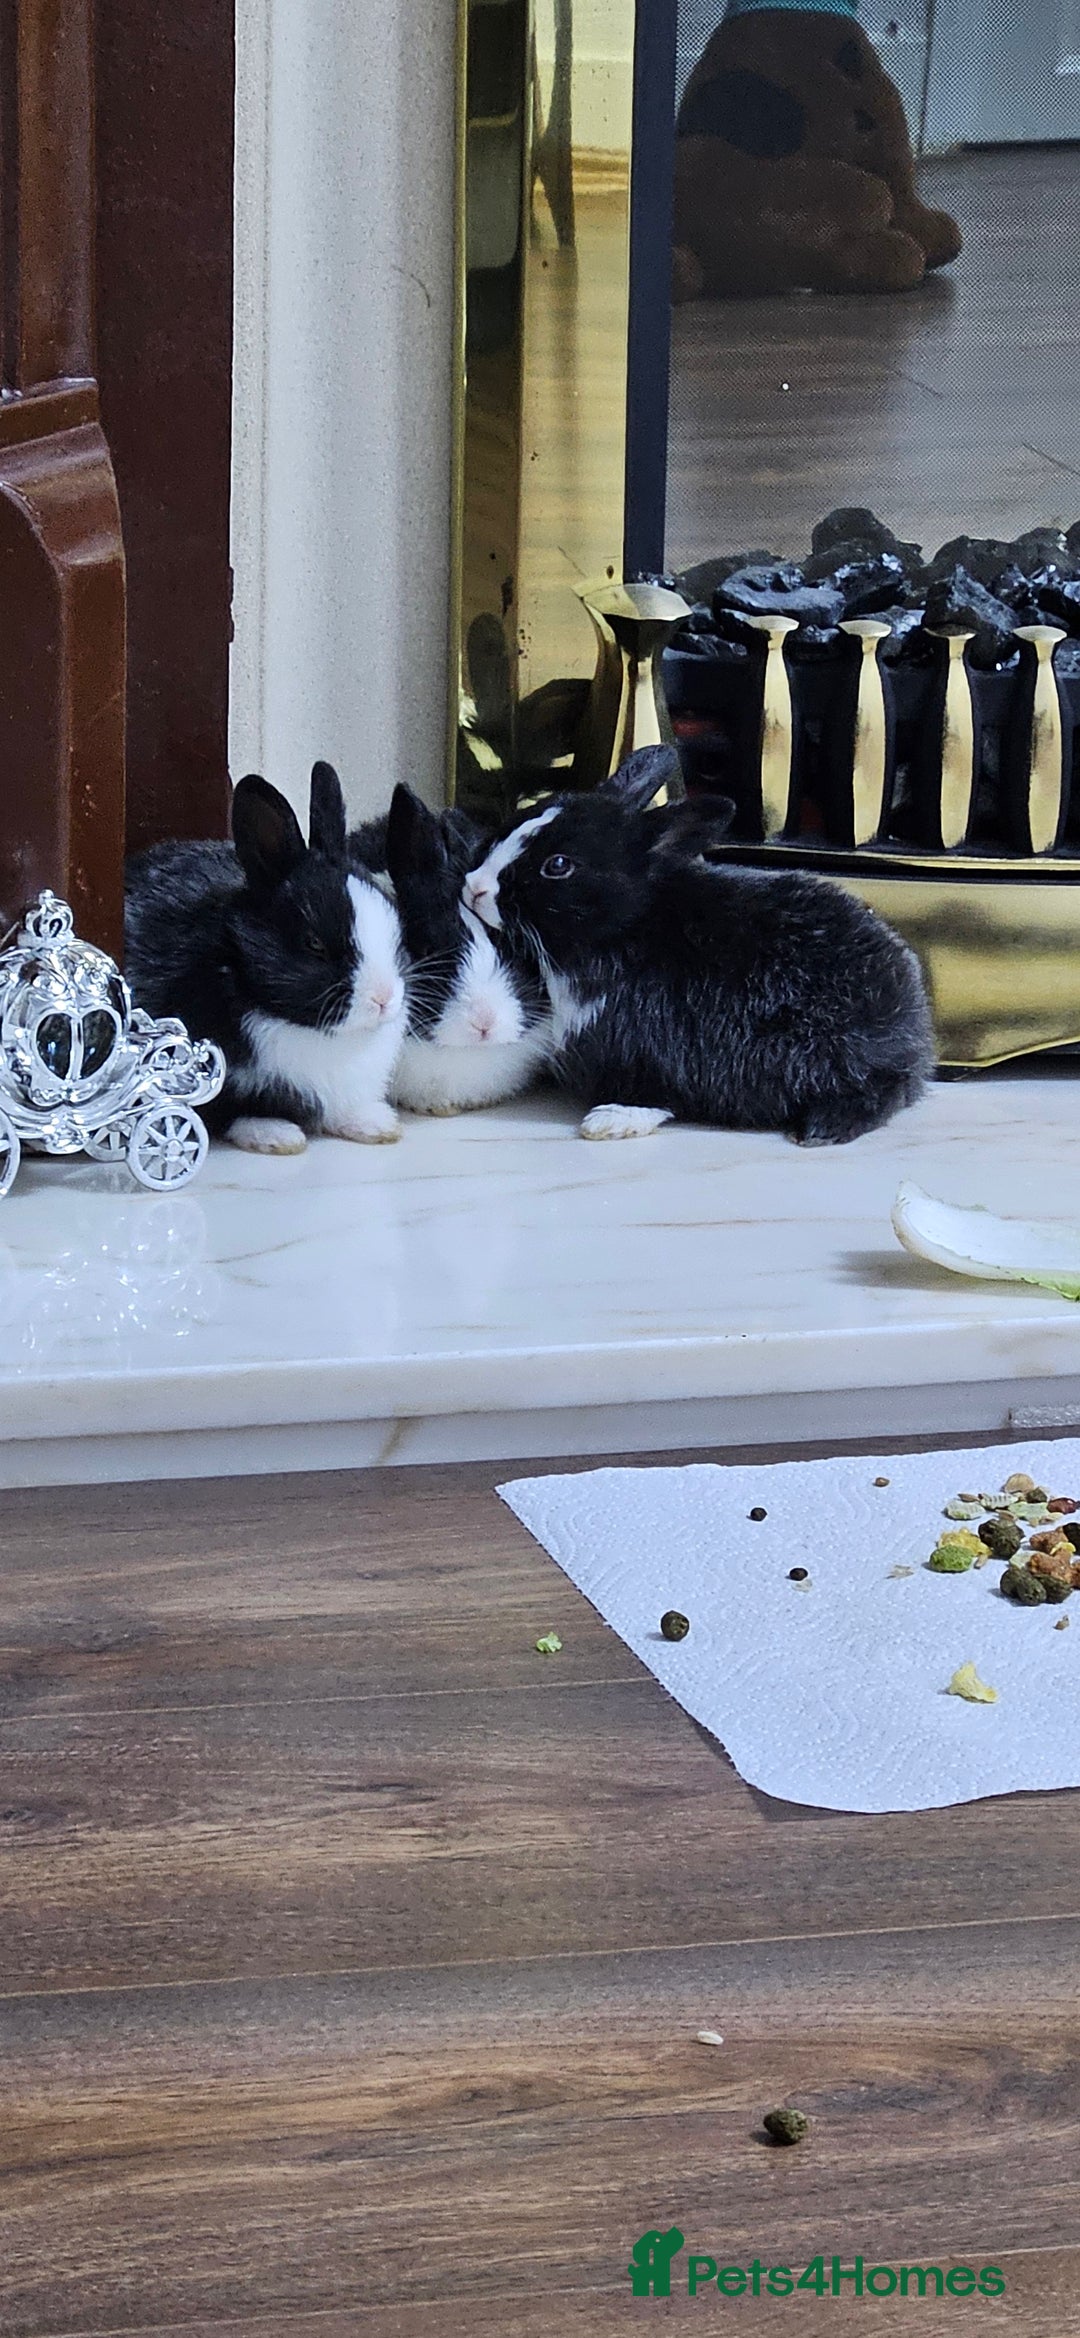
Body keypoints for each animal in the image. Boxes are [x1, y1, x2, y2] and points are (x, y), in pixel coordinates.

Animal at [125, 761, 407, 1153]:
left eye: (393, 919)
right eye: (313, 944)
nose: (383, 999)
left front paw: (375, 1124)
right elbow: (229, 1110)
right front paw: (276, 1135)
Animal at [462, 744, 934, 1144]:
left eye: (558, 865)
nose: (474, 887)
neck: (621, 930)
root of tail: (913, 1016)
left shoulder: (652, 1053)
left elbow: (652, 1096)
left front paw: (610, 1120)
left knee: (887, 1089)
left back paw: (824, 1127)